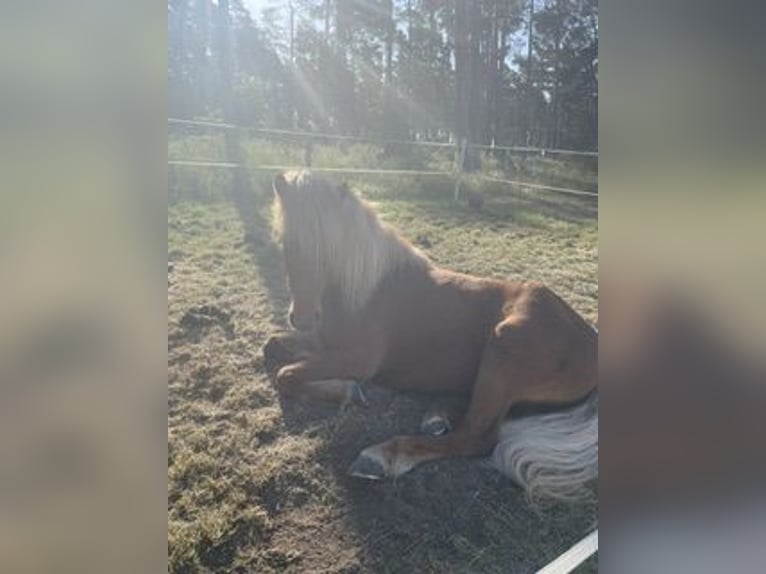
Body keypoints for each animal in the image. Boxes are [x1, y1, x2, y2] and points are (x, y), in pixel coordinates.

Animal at [264, 169, 598, 500]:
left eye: (330, 247)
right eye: (285, 242)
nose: (302, 318)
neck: (363, 290)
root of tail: (589, 336)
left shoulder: (357, 361)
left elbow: (285, 374)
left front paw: (349, 391)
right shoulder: (321, 344)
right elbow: (272, 347)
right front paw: (346, 390)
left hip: (503, 345)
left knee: (476, 436)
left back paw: (382, 456)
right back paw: (436, 417)